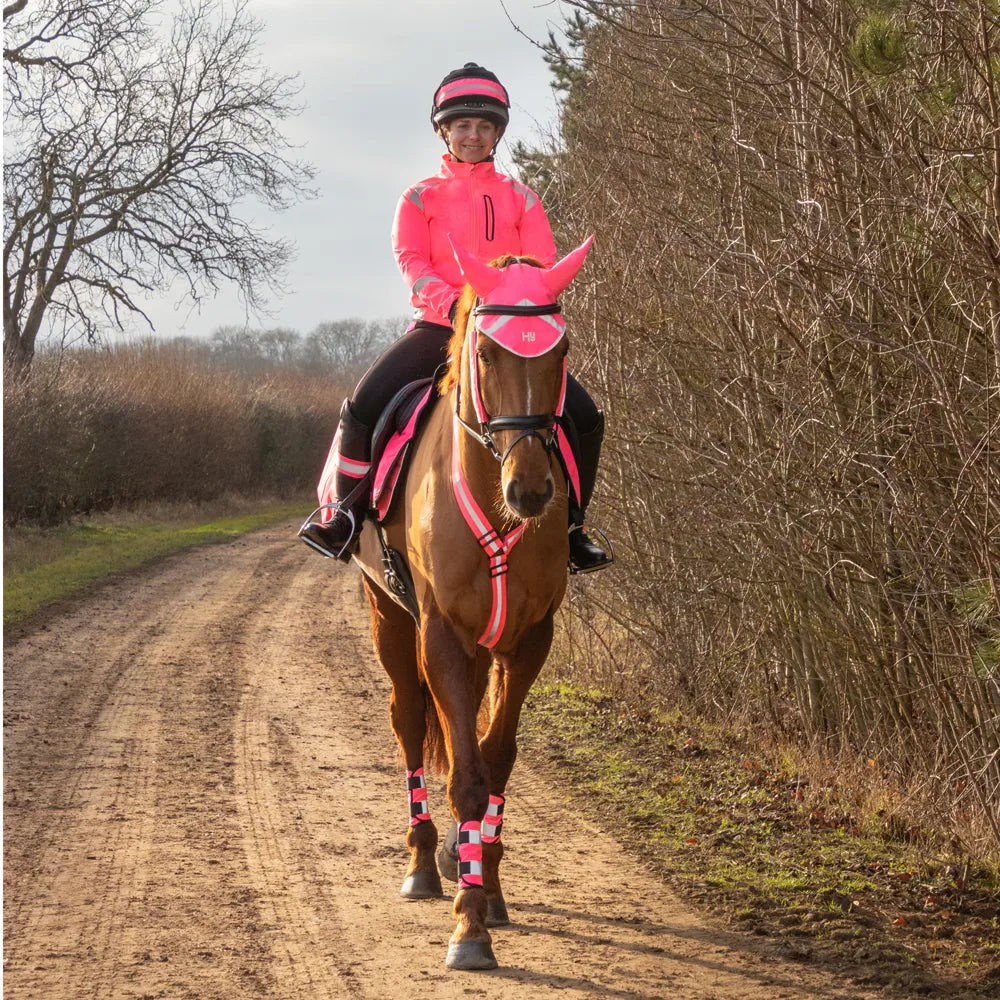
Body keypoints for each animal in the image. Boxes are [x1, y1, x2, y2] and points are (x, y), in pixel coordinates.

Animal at [354, 234, 592, 968]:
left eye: (560, 351)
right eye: (487, 353)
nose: (532, 491)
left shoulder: (530, 638)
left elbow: (497, 757)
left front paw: (489, 885)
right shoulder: (441, 636)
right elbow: (465, 774)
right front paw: (468, 926)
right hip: (388, 616)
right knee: (408, 723)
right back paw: (424, 865)